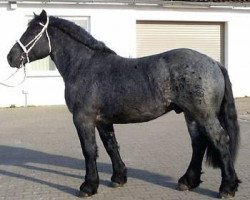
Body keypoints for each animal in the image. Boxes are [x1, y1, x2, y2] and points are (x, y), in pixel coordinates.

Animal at [7, 10, 240, 198]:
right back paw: (187, 181)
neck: (85, 66)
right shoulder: (102, 121)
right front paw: (118, 178)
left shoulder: (83, 119)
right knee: (198, 144)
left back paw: (227, 187)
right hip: (190, 115)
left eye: (33, 32)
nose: (11, 57)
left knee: (220, 141)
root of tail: (214, 62)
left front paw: (88, 186)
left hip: (204, 115)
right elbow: (111, 146)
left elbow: (89, 150)